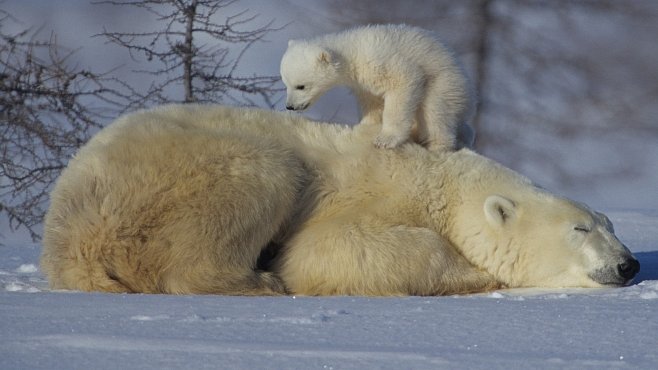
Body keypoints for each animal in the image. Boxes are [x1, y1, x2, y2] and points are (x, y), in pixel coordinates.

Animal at [41, 105, 636, 296]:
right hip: (175, 175)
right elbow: (328, 251)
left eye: (611, 223)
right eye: (581, 229)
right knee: (263, 173)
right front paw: (473, 274)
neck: (438, 180)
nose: (628, 265)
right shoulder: (367, 192)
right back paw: (257, 281)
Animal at [280, 23, 468, 151]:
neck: (352, 52)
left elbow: (404, 82)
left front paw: (385, 140)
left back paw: (437, 145)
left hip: (442, 81)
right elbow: (372, 102)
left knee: (436, 112)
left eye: (301, 86)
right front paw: (366, 125)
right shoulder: (363, 82)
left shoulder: (379, 62)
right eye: (285, 83)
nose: (290, 106)